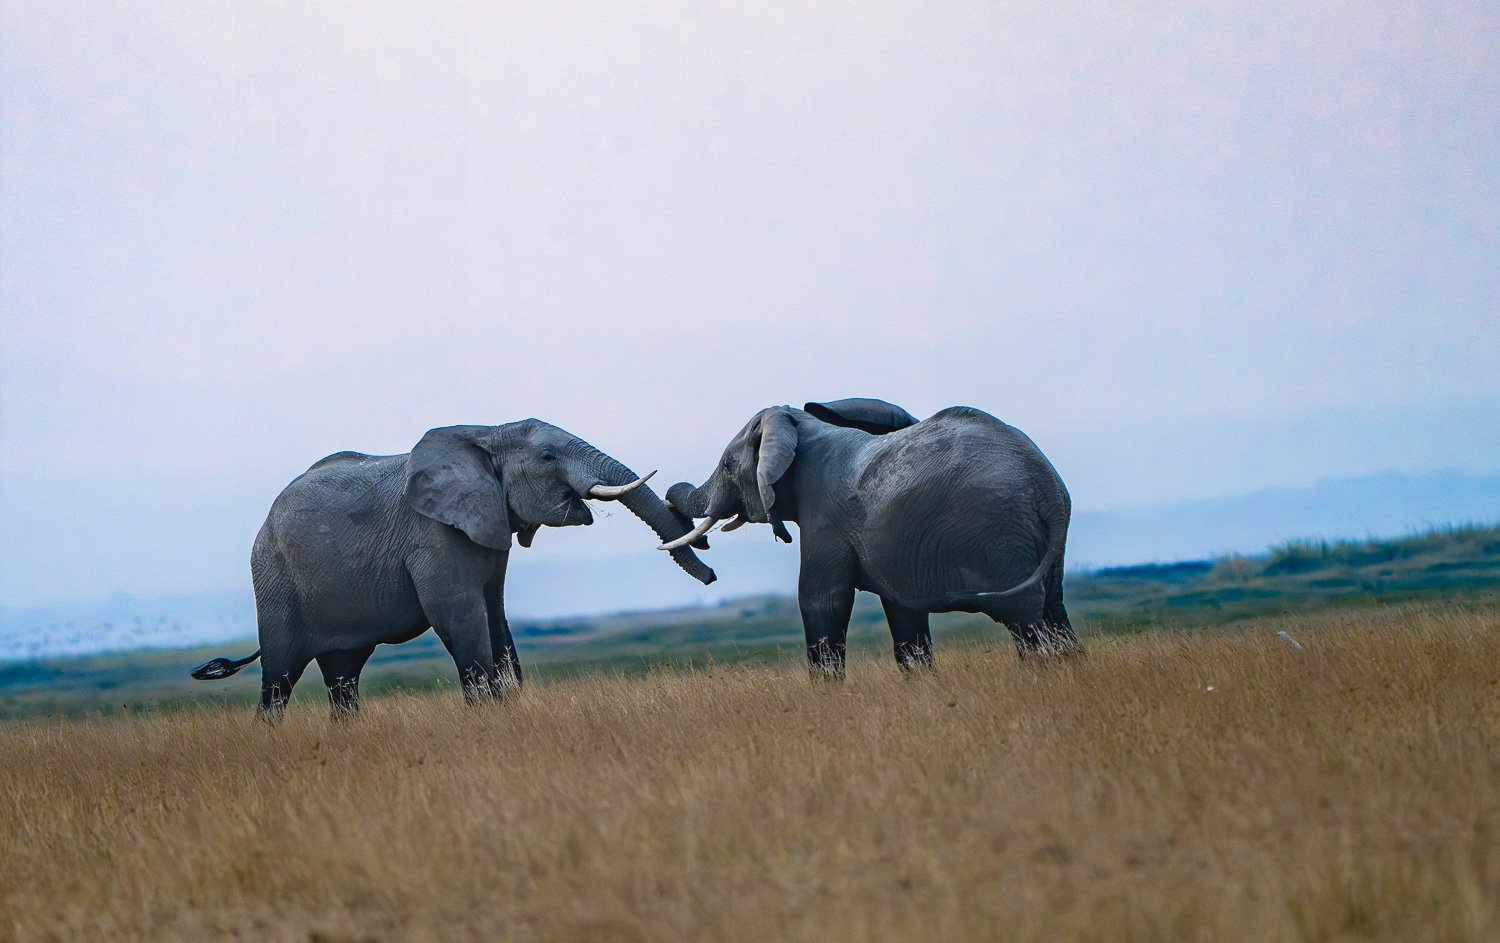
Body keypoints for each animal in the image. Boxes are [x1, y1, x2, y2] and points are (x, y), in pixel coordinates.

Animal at [192, 420, 716, 719]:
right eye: (548, 457)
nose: (711, 575)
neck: (485, 435)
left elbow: (495, 614)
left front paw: (507, 708)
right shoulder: (433, 535)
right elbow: (459, 615)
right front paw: (486, 718)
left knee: (343, 676)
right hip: (273, 575)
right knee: (279, 678)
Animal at [661, 398, 1075, 676]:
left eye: (728, 465)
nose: (709, 564)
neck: (800, 426)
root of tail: (1045, 483)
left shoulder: (824, 517)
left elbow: (820, 600)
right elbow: (903, 613)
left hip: (997, 535)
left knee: (1026, 621)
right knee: (1054, 609)